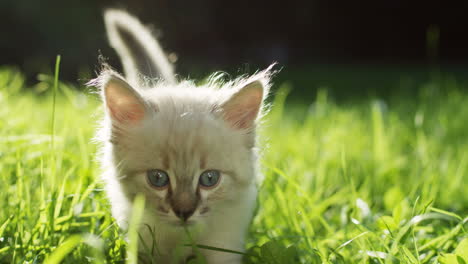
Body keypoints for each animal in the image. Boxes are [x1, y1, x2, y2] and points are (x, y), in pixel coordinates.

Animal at [91, 9, 272, 262]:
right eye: (158, 179)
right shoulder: (141, 242)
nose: (184, 212)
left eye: (210, 179)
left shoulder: (224, 246)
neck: (180, 241)